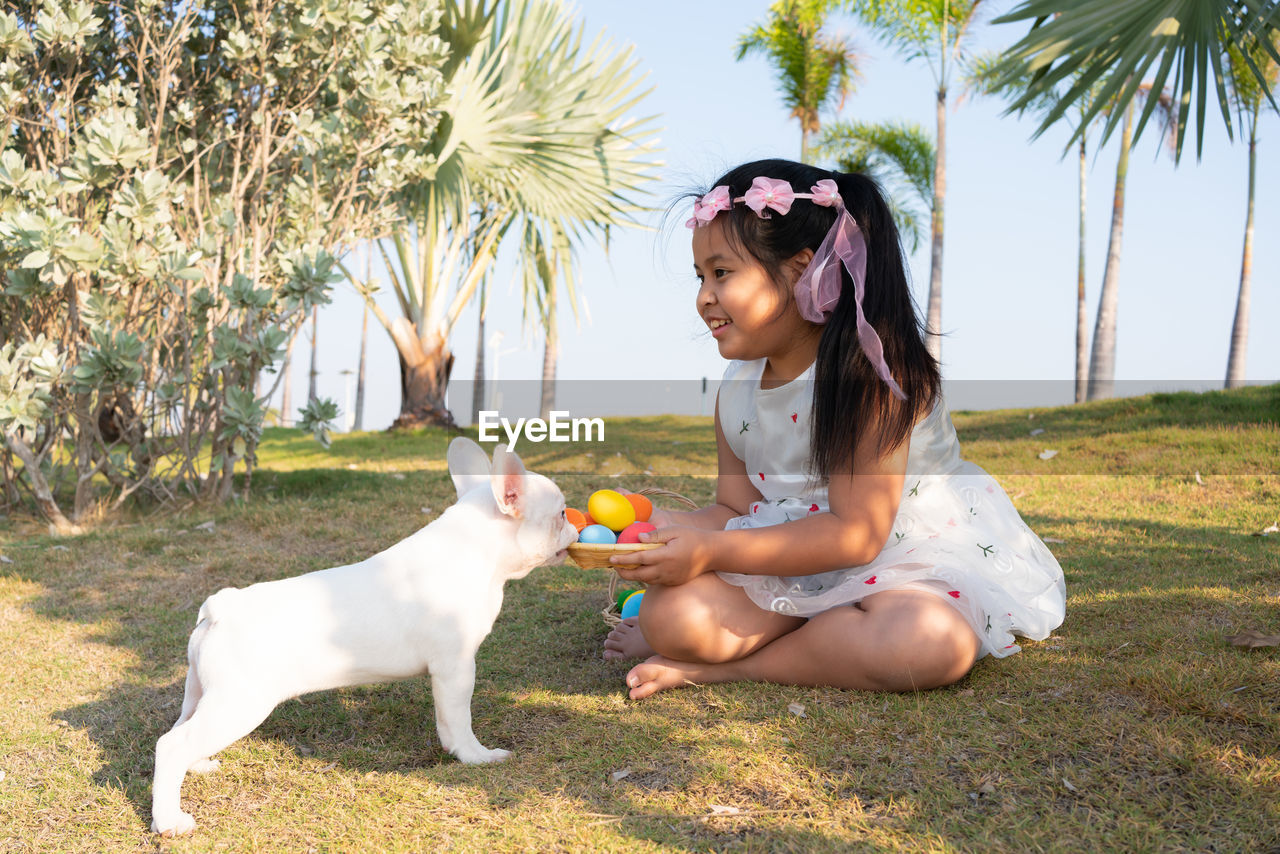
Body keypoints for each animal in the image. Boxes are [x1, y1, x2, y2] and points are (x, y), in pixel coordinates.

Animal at [149, 437, 576, 839]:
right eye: (560, 513)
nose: (573, 525)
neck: (478, 550)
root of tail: (221, 607)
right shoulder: (455, 669)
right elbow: (457, 720)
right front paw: (475, 756)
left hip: (203, 692)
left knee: (180, 730)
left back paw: (198, 765)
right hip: (240, 703)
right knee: (172, 746)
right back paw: (169, 821)